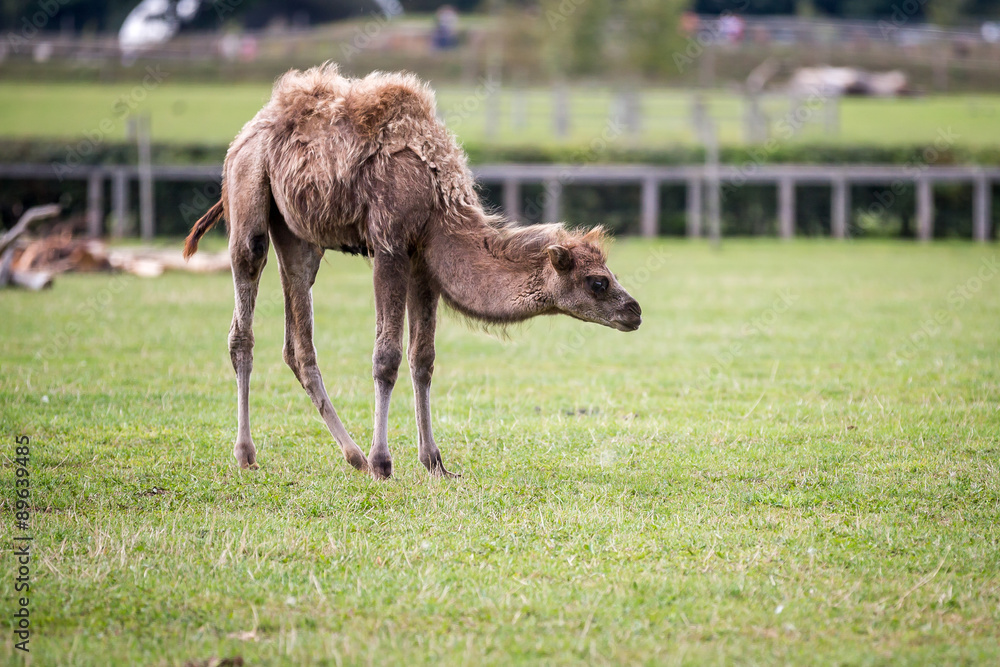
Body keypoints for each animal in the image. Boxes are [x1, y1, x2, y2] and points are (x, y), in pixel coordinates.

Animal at [183, 63, 642, 479]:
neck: (438, 203)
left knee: (298, 341)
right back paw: (248, 455)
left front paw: (434, 462)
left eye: (609, 274)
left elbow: (423, 358)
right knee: (244, 314)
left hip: (299, 236)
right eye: (598, 282)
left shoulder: (425, 260)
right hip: (248, 195)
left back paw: (352, 456)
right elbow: (386, 357)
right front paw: (383, 463)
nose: (634, 312)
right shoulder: (390, 245)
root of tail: (245, 134)